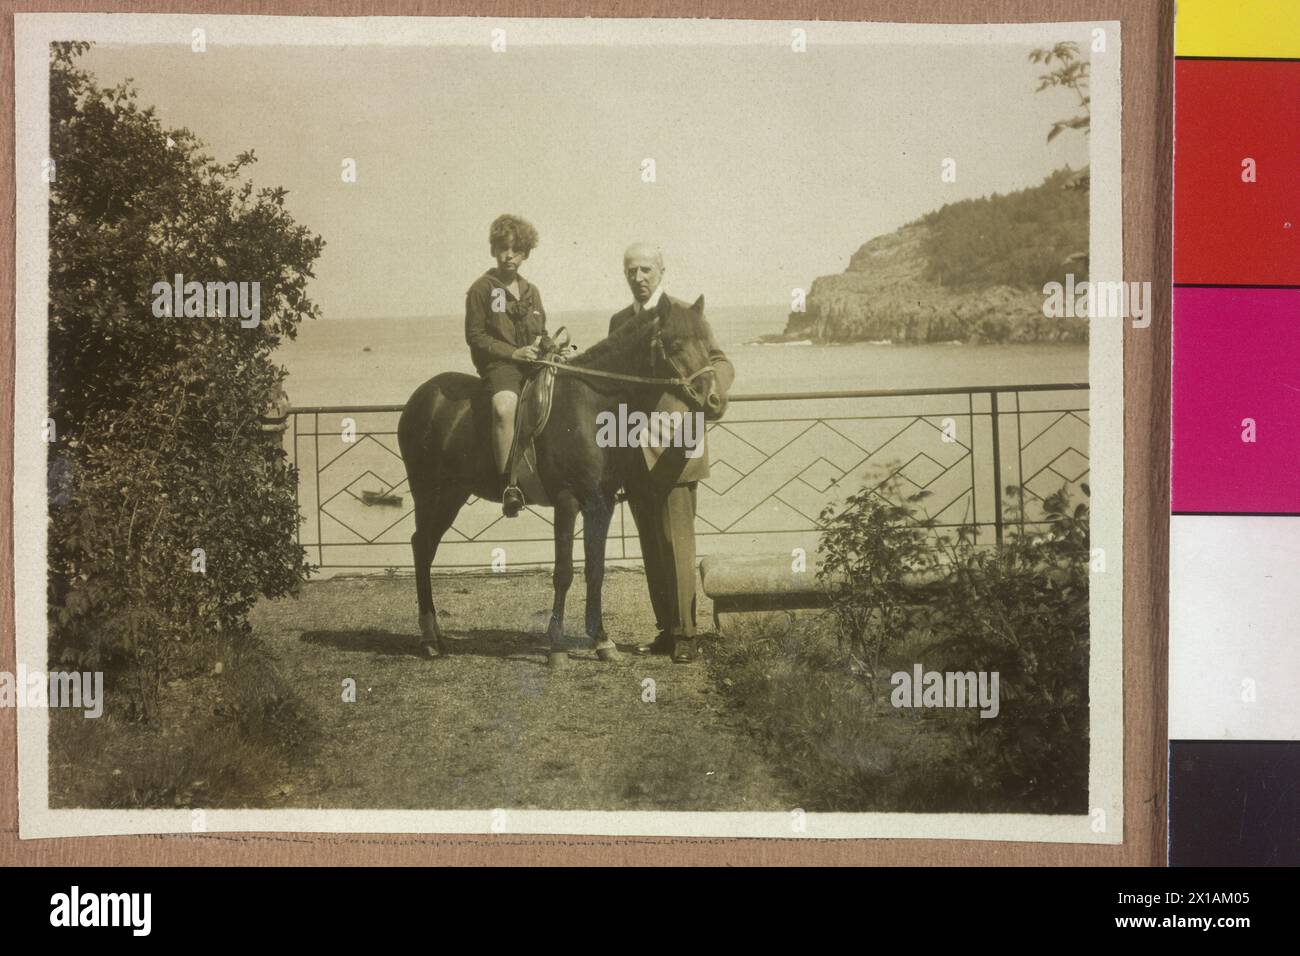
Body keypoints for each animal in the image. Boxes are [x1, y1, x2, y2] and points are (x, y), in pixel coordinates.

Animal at [395, 297, 728, 665]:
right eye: (676, 344)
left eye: (708, 344)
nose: (715, 401)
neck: (593, 405)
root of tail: (423, 397)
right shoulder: (567, 501)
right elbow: (564, 572)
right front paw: (556, 646)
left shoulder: (601, 503)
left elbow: (595, 570)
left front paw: (602, 641)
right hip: (429, 493)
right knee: (421, 546)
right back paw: (429, 638)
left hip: (452, 494)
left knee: (425, 546)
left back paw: (436, 635)